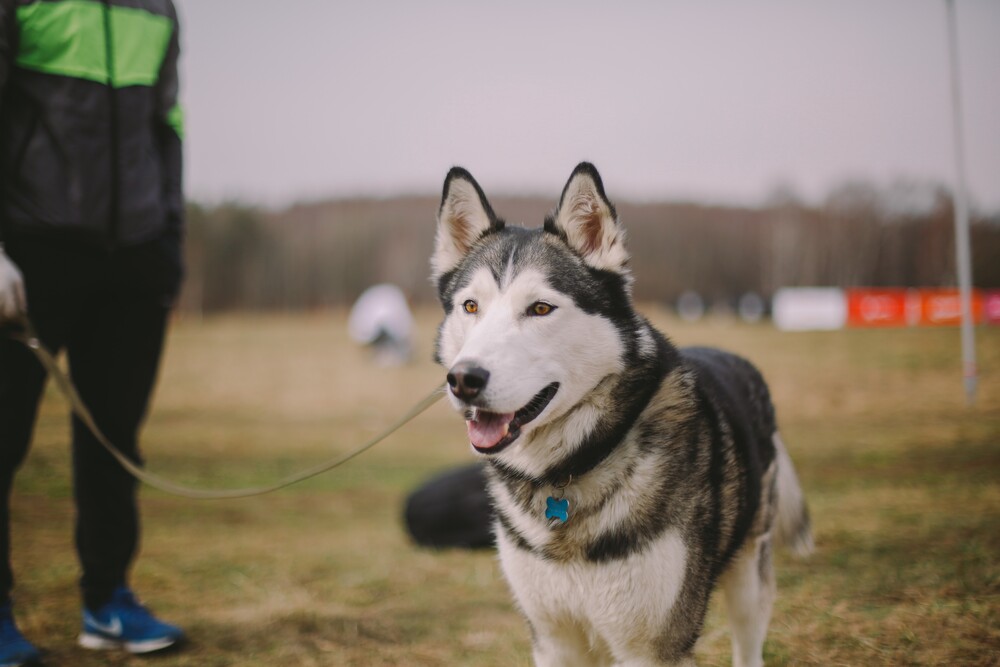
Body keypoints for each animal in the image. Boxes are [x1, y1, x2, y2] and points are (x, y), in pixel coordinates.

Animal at [430, 163, 812, 667]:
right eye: (470, 306)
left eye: (540, 308)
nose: (463, 379)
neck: (567, 471)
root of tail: (733, 355)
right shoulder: (554, 640)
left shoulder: (653, 647)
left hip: (749, 580)